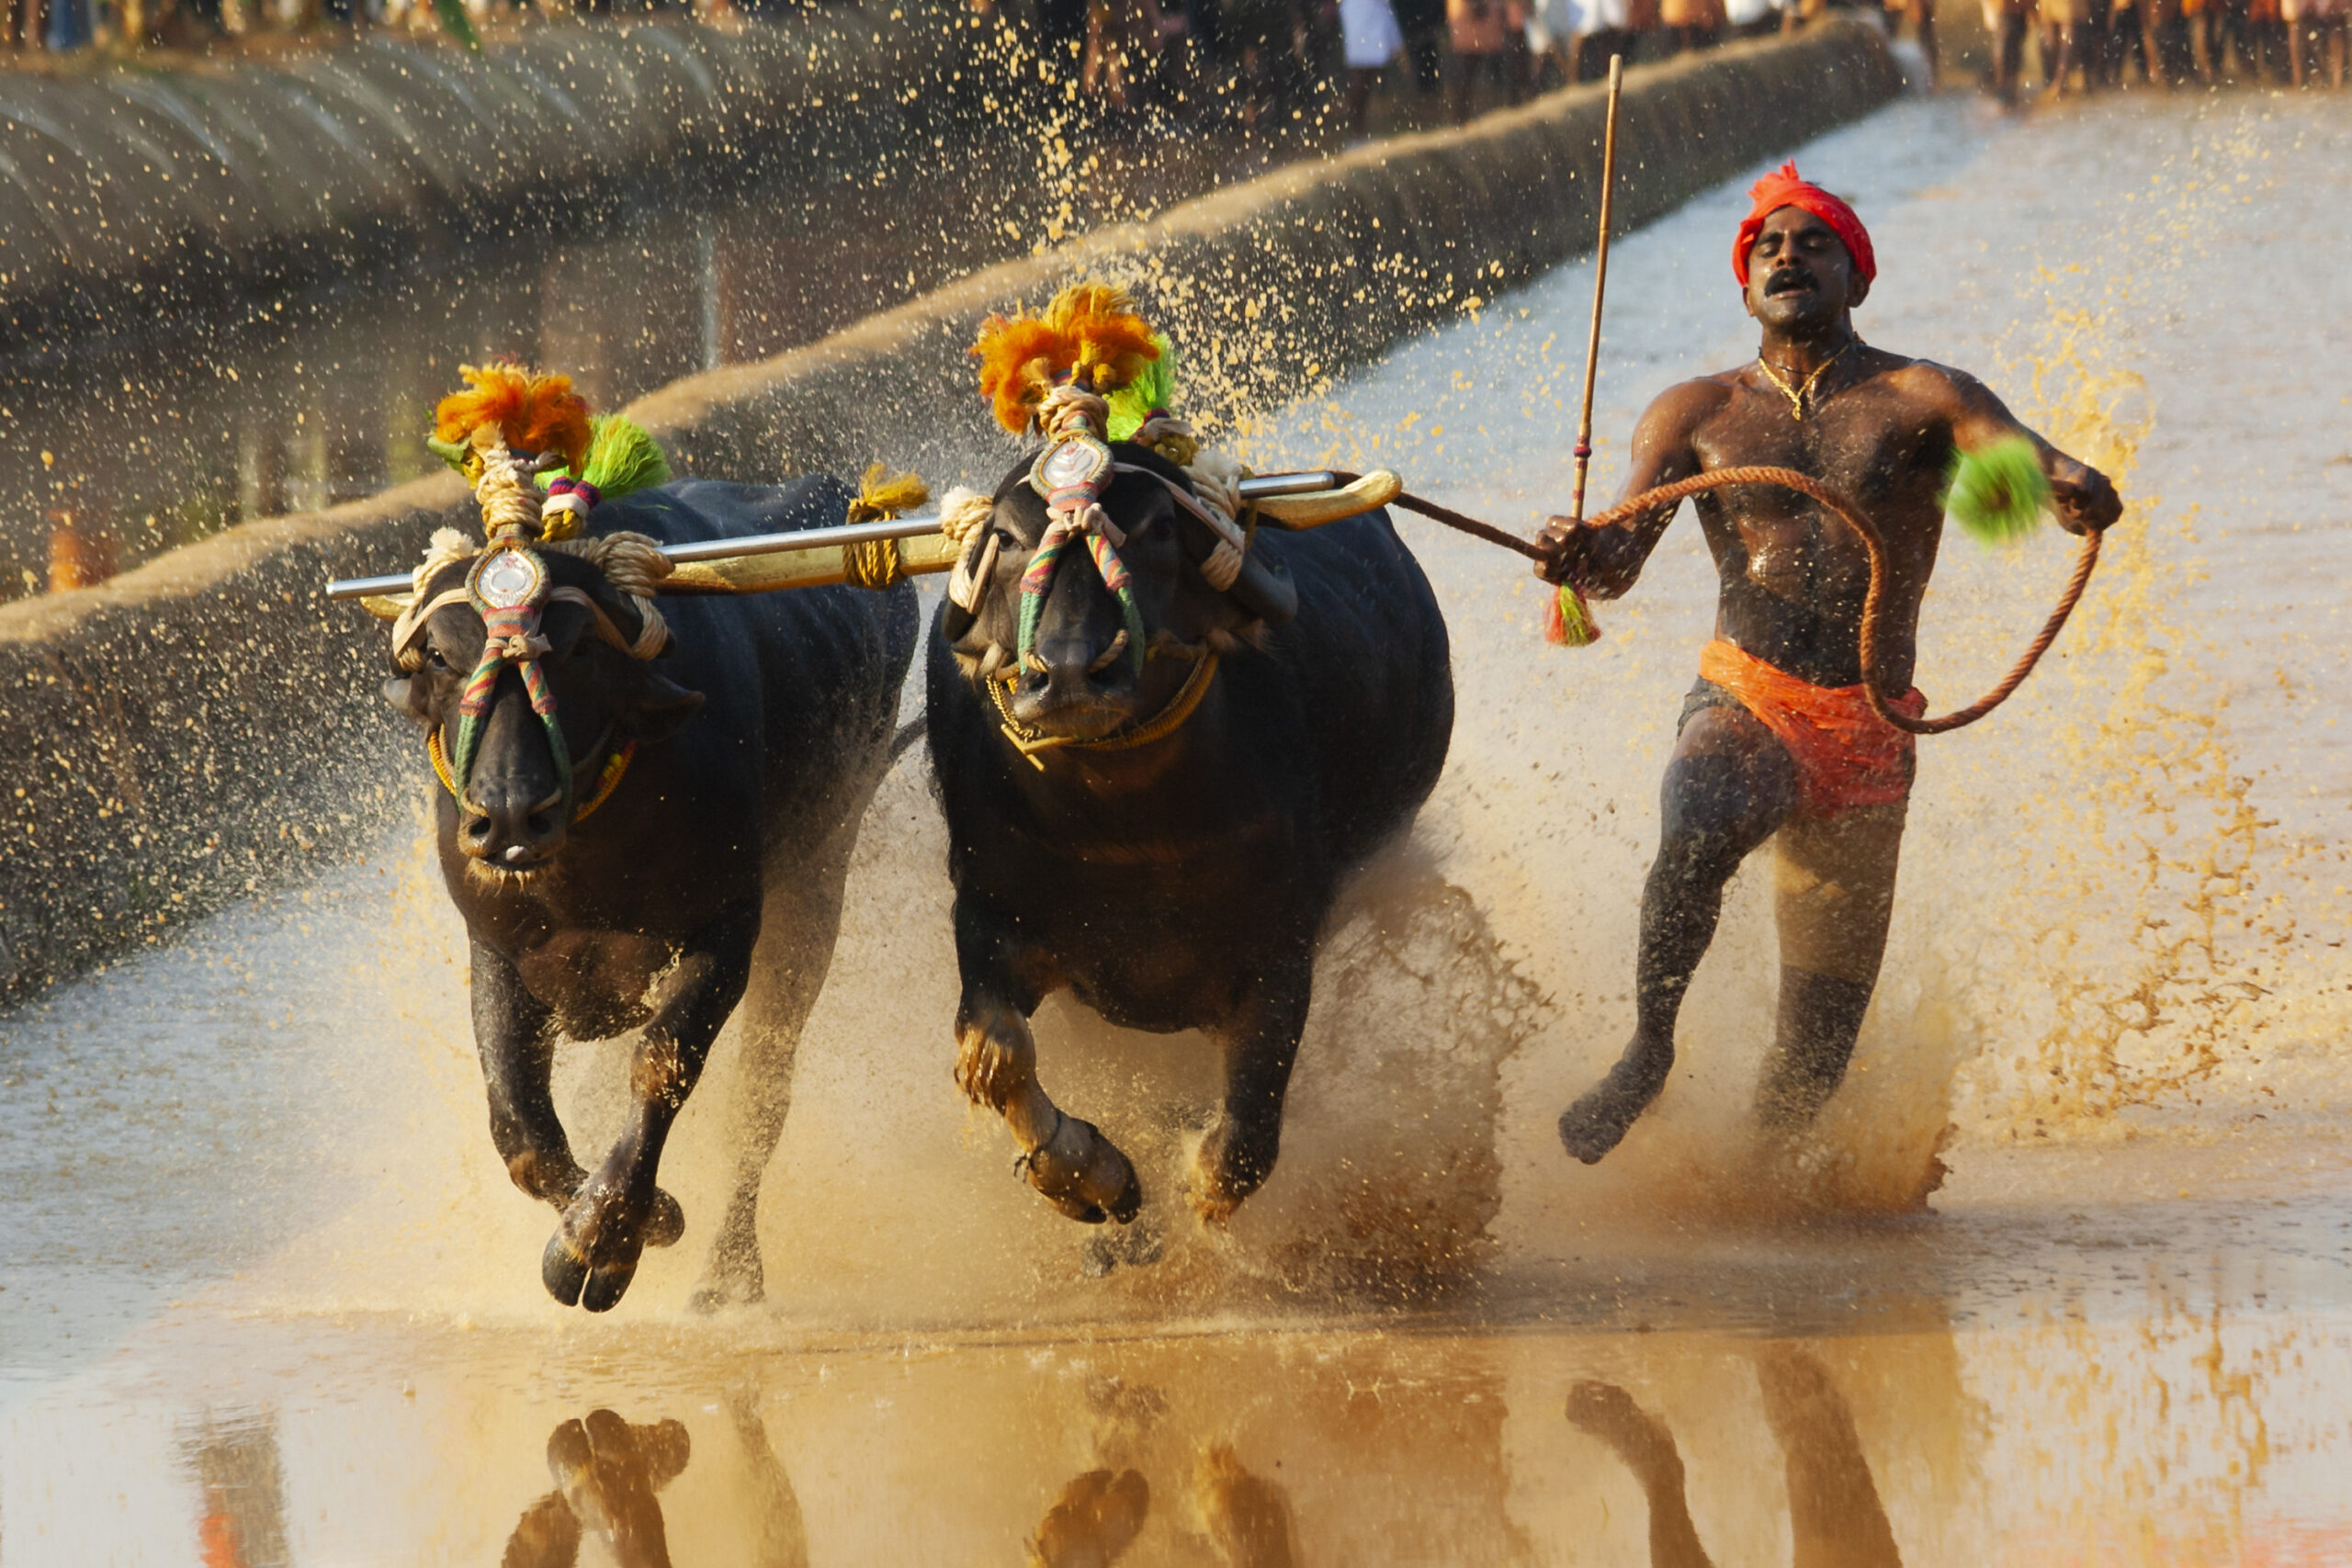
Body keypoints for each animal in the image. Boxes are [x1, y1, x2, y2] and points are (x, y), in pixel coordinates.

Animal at [385, 479, 908, 1316]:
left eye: (581, 649)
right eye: (440, 652)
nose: (508, 813)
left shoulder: (727, 929)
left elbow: (662, 1065)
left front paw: (602, 1238)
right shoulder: (497, 947)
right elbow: (521, 1125)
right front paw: (642, 1212)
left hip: (817, 887)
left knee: (760, 1100)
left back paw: (731, 1272)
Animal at [922, 446, 1448, 1232]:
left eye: (1160, 529)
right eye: (1008, 539)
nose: (1069, 673)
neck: (1126, 831)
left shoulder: (1279, 952)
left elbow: (1244, 1139)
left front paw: (1195, 1176)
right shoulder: (989, 911)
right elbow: (996, 1050)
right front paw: (1089, 1173)